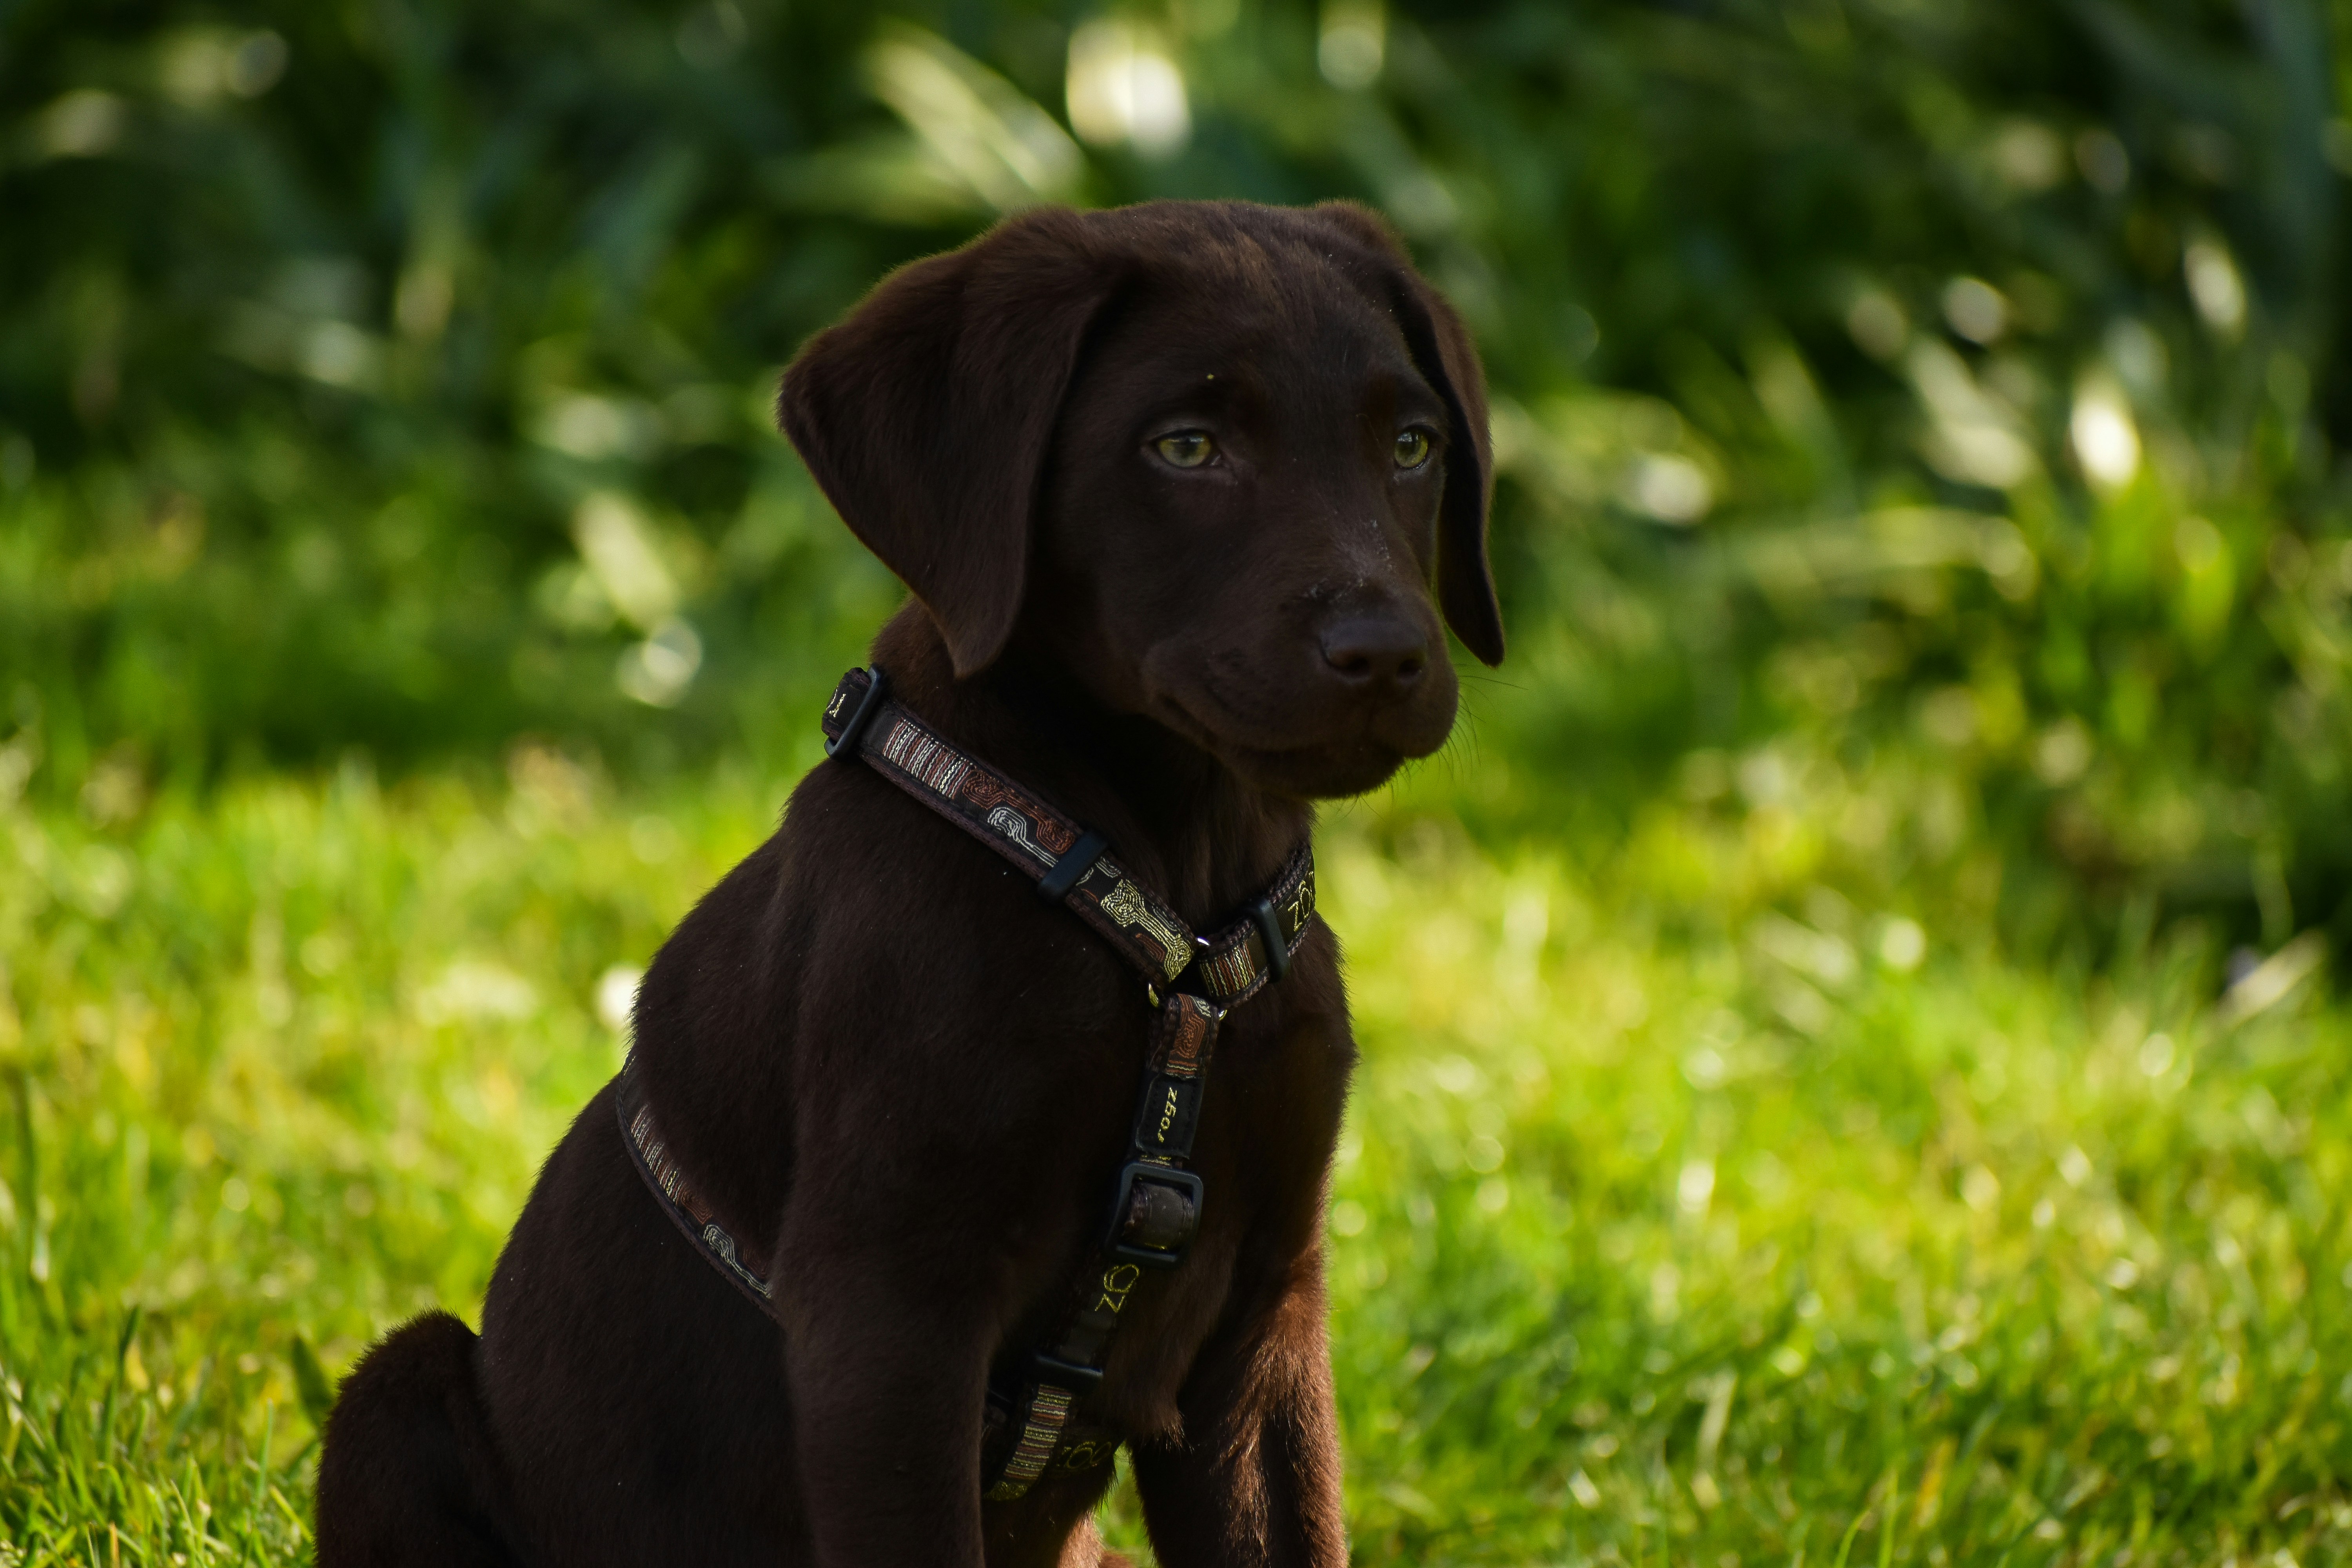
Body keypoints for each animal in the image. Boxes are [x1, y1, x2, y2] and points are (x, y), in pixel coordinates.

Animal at [313, 200, 1496, 1568]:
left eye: (1411, 445)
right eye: (1187, 447)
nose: (1386, 653)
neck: (1177, 926)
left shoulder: (1264, 1311)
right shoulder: (891, 1314)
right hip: (402, 1388)